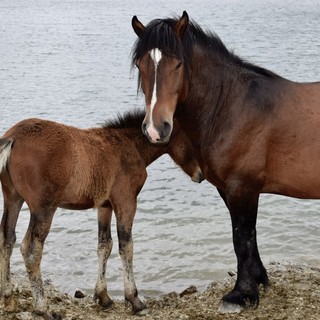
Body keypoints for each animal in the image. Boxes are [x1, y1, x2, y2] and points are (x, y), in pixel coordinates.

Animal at [0, 109, 204, 318]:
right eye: (194, 141)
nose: (201, 175)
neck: (131, 145)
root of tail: (13, 137)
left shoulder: (105, 206)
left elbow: (104, 245)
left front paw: (103, 296)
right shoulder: (126, 200)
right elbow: (126, 245)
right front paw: (134, 300)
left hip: (12, 198)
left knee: (7, 239)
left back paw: (9, 300)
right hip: (44, 207)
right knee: (32, 249)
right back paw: (43, 308)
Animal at [132, 11, 320, 312]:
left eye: (178, 64)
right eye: (141, 65)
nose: (155, 129)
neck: (232, 107)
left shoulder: (242, 189)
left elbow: (241, 239)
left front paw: (241, 294)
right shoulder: (229, 189)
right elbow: (247, 237)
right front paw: (258, 281)